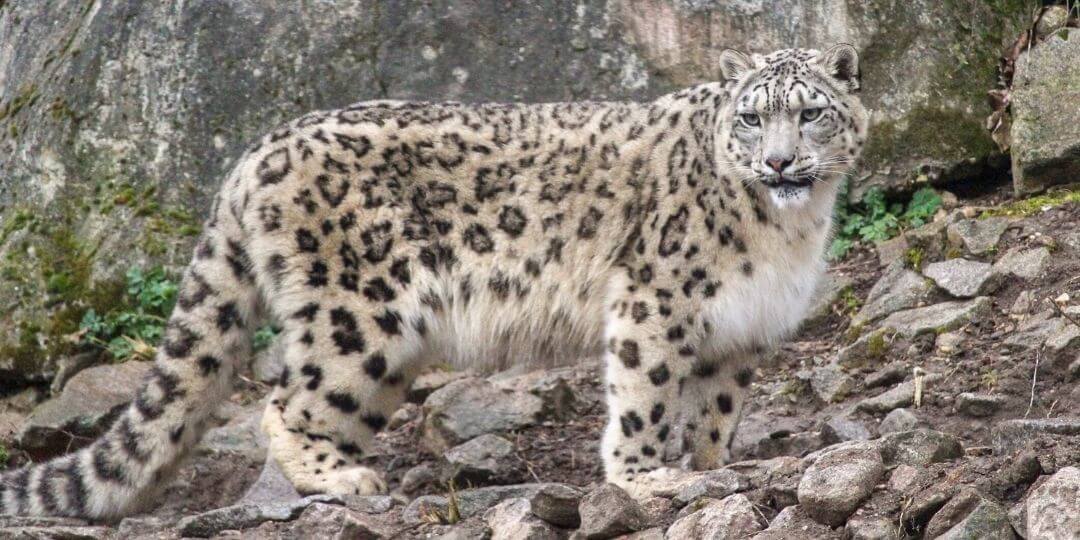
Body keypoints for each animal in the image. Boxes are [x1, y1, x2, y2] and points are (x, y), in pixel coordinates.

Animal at [0, 44, 867, 518]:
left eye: (811, 112)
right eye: (752, 116)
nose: (779, 162)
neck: (786, 232)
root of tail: (256, 152)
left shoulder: (740, 330)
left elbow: (713, 411)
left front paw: (710, 467)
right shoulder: (657, 301)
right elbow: (648, 395)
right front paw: (645, 476)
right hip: (358, 318)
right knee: (283, 404)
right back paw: (343, 477)